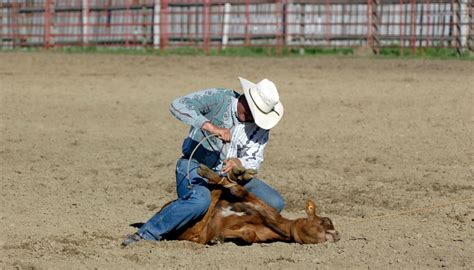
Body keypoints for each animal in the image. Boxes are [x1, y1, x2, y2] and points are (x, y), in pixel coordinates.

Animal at [165, 161, 338, 246]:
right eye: (325, 220)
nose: (337, 235)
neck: (272, 221)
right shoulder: (255, 201)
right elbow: (238, 190)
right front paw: (209, 172)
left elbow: (249, 234)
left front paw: (218, 238)